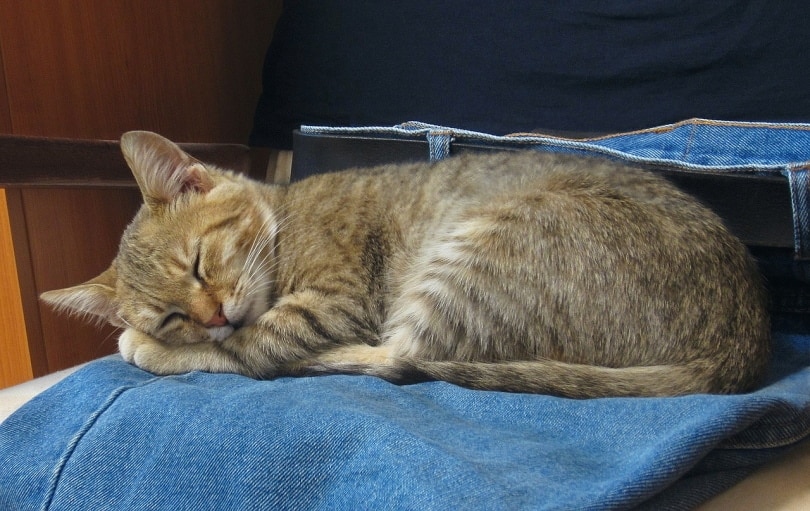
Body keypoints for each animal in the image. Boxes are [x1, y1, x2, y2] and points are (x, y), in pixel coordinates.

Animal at [39, 130, 772, 398]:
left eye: (197, 262)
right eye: (170, 314)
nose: (212, 314)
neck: (283, 216)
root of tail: (745, 337)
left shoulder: (330, 302)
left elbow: (248, 350)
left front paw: (147, 349)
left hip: (474, 260)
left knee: (392, 358)